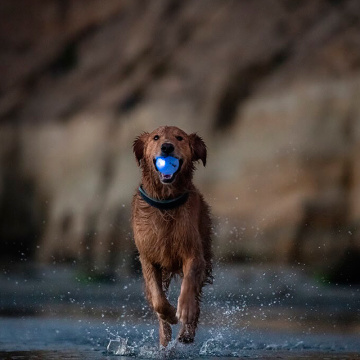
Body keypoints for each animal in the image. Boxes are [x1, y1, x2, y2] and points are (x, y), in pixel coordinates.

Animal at [131, 126, 211, 346]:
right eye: (155, 137)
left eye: (180, 138)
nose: (167, 147)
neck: (165, 204)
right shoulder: (148, 259)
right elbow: (158, 300)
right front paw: (169, 315)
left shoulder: (194, 253)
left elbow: (189, 283)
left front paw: (185, 310)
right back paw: (165, 337)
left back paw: (187, 332)